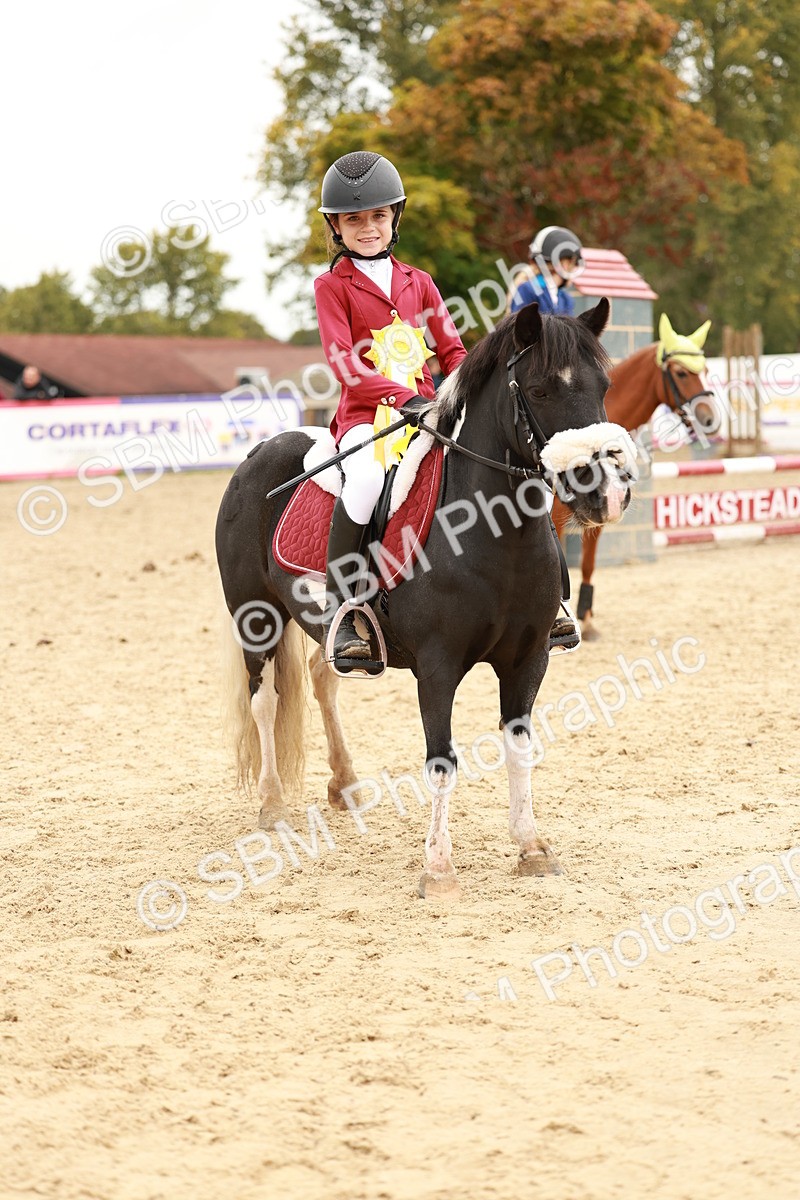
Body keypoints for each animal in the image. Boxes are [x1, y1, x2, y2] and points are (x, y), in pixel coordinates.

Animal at [214, 298, 636, 898]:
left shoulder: (529, 659)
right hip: (257, 618)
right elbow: (442, 761)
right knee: (264, 702)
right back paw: (272, 807)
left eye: (604, 386)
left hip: (322, 625)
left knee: (324, 681)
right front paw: (437, 869)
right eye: (539, 391)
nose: (608, 492)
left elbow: (519, 747)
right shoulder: (437, 668)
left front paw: (532, 848)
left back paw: (345, 784)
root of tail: (261, 449)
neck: (494, 536)